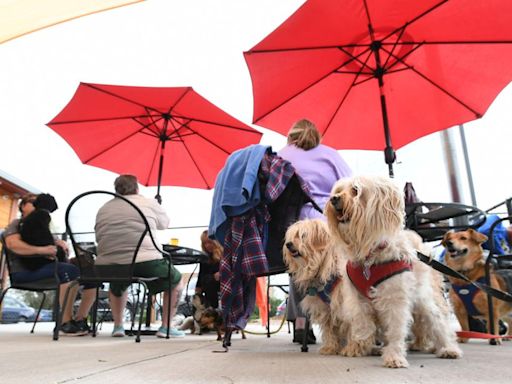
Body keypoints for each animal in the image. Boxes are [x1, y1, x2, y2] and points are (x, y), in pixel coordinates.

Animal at [282, 219, 346, 354]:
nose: (288, 244)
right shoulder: (326, 307)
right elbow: (330, 328)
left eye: (303, 235)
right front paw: (330, 347)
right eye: (292, 236)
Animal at [326, 176, 462, 368]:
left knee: (438, 323)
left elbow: (396, 329)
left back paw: (448, 348)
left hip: (423, 299)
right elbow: (362, 323)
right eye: (338, 190)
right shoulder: (357, 299)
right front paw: (358, 347)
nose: (334, 199)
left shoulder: (395, 298)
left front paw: (394, 356)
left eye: (355, 190)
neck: (369, 259)